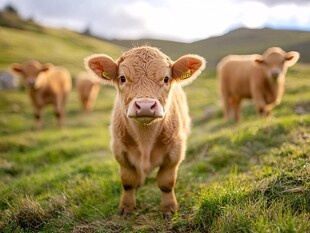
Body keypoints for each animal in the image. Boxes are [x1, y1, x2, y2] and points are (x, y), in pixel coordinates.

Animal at [85, 46, 206, 218]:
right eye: (122, 78)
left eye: (166, 78)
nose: (145, 106)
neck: (145, 140)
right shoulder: (119, 150)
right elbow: (128, 181)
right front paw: (127, 207)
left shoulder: (175, 151)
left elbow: (166, 182)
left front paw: (169, 208)